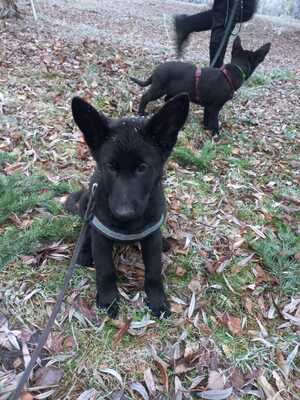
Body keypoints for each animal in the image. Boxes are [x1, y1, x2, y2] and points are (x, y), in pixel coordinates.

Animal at [65, 94, 190, 318]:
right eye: (110, 166)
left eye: (142, 168)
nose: (124, 213)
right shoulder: (101, 237)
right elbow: (105, 270)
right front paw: (108, 299)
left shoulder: (150, 237)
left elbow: (154, 271)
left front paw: (157, 300)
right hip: (87, 204)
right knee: (86, 231)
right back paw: (85, 252)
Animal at [130, 36, 270, 138]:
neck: (233, 71)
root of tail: (156, 70)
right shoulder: (215, 107)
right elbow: (214, 121)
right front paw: (215, 135)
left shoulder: (209, 107)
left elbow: (207, 118)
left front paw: (206, 128)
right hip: (158, 89)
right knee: (145, 97)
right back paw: (141, 112)